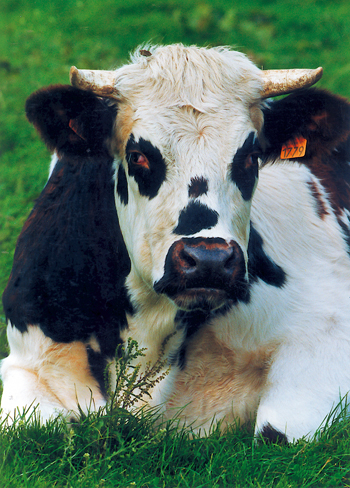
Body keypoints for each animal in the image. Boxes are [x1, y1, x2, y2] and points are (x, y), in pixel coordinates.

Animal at [0, 44, 350, 442]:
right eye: (138, 156)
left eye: (252, 156)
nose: (209, 260)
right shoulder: (27, 359)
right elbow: (36, 425)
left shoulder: (326, 326)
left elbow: (276, 430)